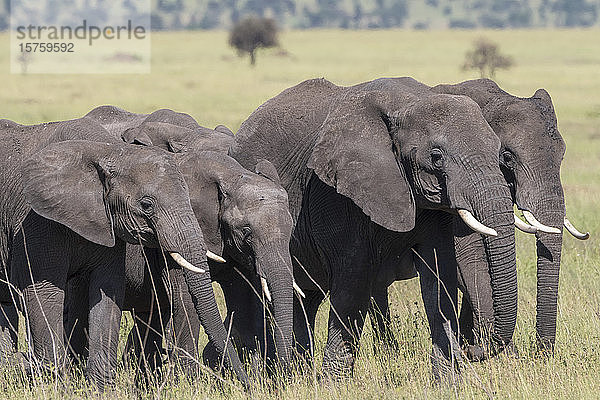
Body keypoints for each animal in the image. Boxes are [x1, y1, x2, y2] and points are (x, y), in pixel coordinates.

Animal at [0, 119, 248, 390]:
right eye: (146, 205)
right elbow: (43, 292)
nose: (246, 383)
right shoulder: (34, 221)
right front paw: (55, 387)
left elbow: (106, 291)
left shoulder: (108, 224)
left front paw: (100, 390)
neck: (107, 151)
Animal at [230, 76, 520, 380]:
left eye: (500, 153)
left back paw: (299, 373)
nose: (473, 350)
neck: (407, 102)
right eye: (436, 156)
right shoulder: (335, 193)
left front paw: (447, 382)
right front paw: (335, 384)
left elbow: (440, 280)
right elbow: (353, 285)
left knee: (305, 300)